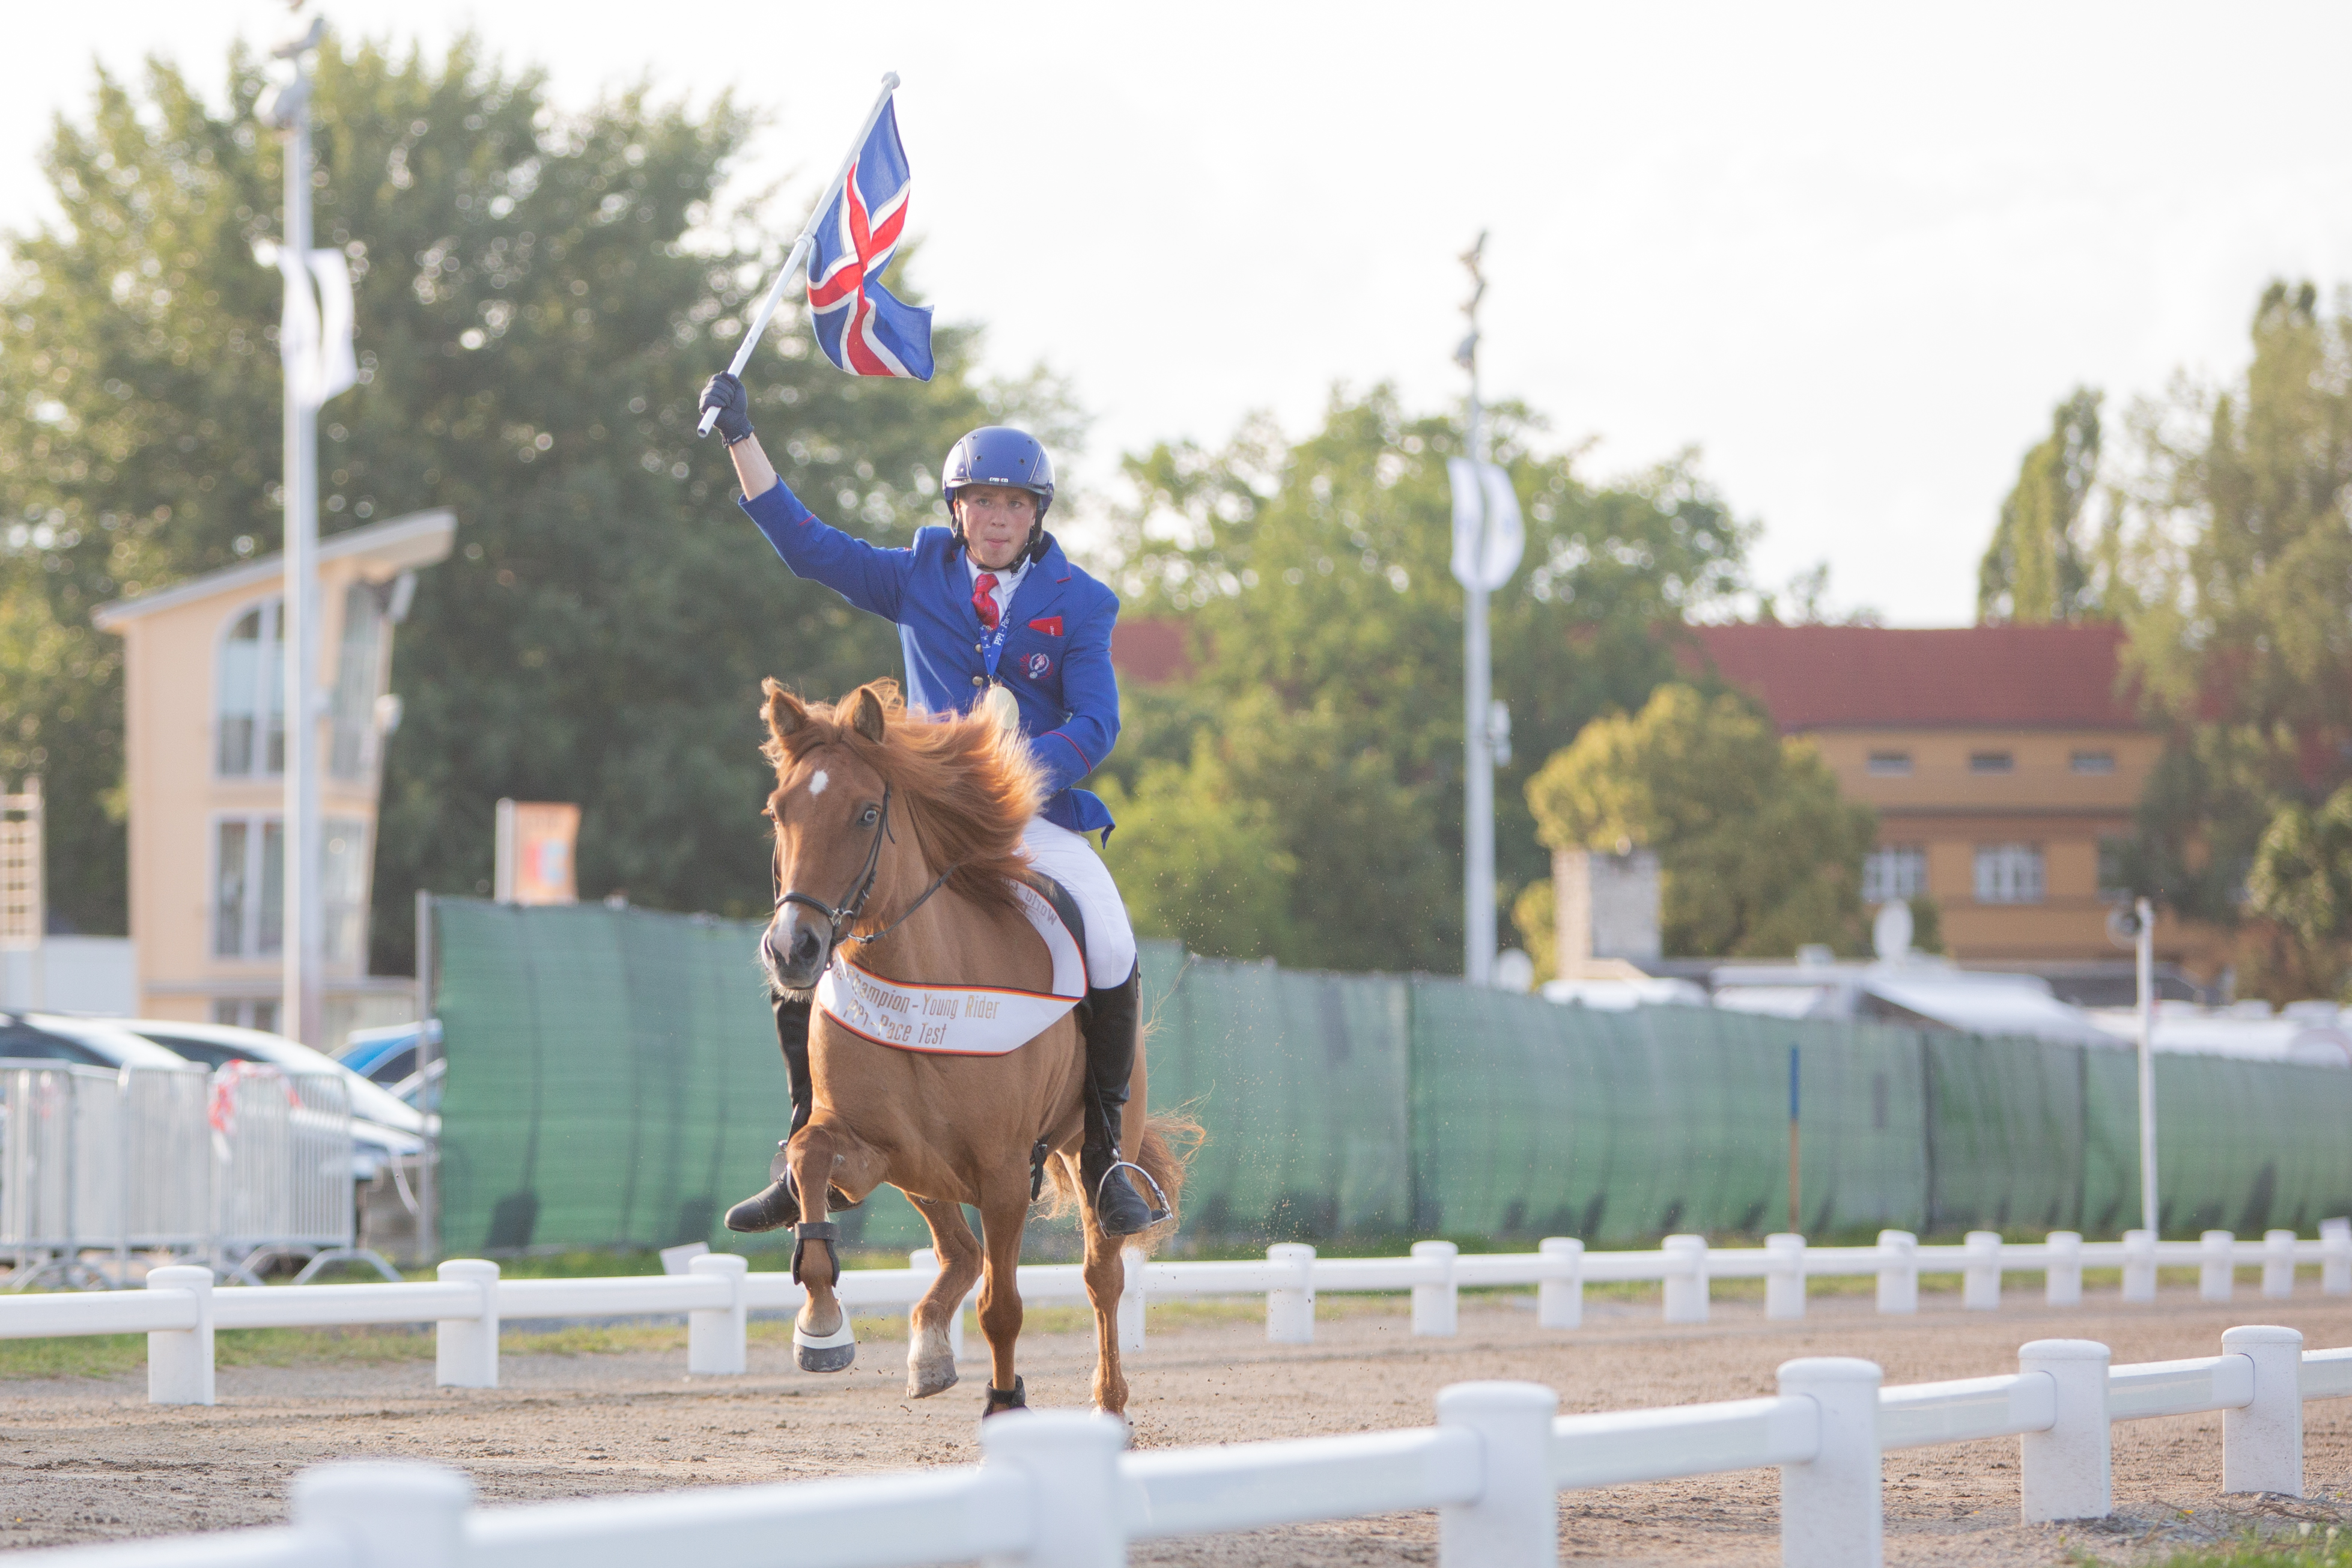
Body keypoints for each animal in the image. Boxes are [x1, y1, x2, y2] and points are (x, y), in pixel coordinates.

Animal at [752, 681, 1194, 1420]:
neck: (919, 988)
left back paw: (1108, 1401)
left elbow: (1003, 1308)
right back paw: (929, 1348)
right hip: (922, 1165)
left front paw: (1006, 1403)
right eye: (778, 811)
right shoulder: (871, 1147)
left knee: (1100, 1276)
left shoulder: (1004, 1174)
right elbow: (810, 1153)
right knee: (958, 1250)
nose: (793, 950)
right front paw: (821, 1327)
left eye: (867, 814)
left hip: (1092, 1146)